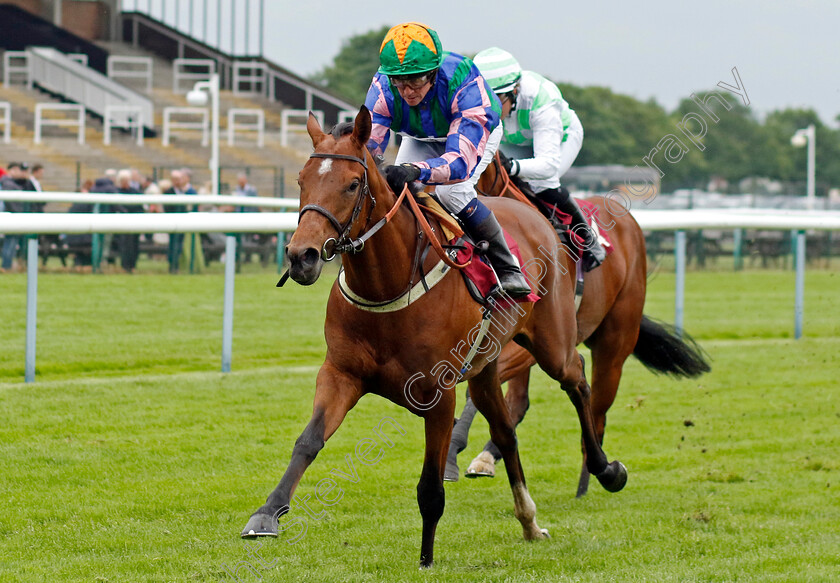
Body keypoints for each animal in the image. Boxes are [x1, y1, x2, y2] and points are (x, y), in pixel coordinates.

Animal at [240, 107, 628, 568]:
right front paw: (267, 513)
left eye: (352, 184)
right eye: (301, 180)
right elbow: (308, 441)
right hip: (484, 366)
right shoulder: (341, 374)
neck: (386, 285)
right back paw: (530, 521)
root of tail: (533, 215)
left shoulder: (439, 396)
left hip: (552, 342)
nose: (302, 256)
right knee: (506, 431)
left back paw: (606, 469)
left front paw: (425, 558)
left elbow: (430, 485)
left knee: (578, 378)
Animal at [446, 154, 708, 498]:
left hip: (614, 342)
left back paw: (590, 480)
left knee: (597, 410)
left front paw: (453, 449)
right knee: (523, 401)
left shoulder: (534, 341)